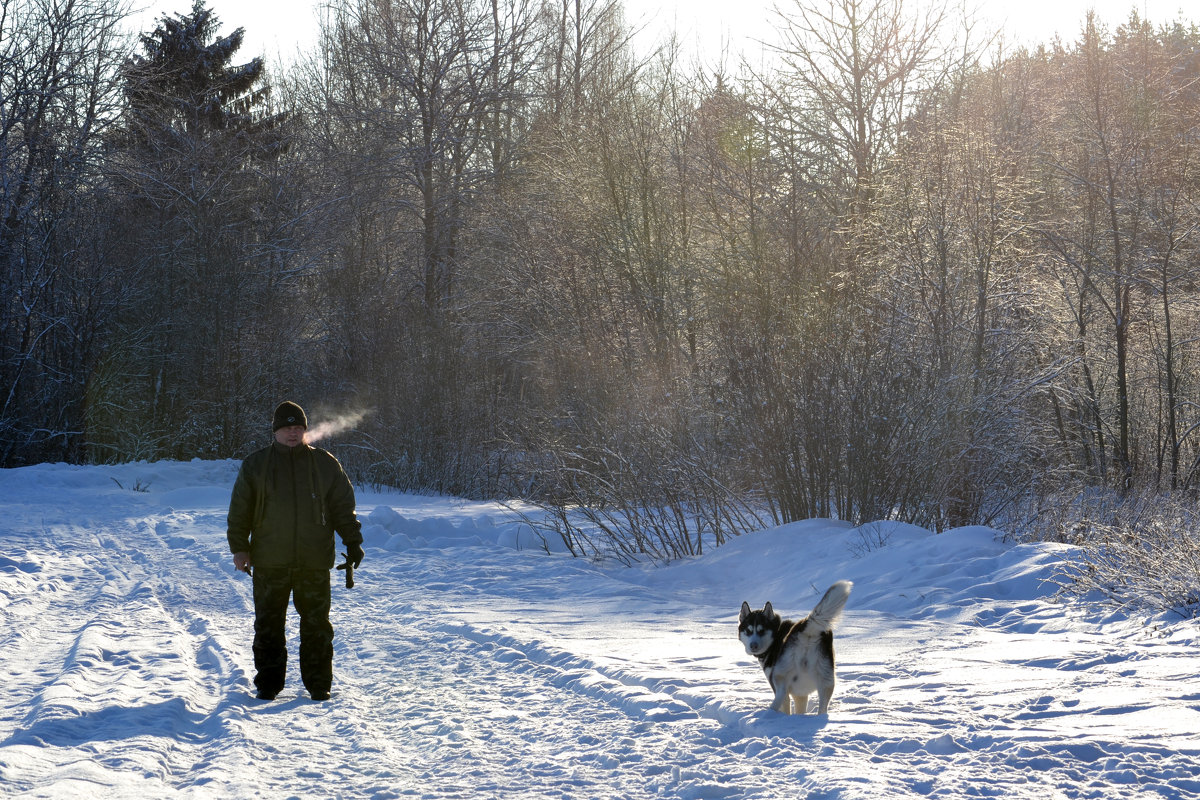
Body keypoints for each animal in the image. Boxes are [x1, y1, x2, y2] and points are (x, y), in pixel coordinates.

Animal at [734, 578, 849, 714]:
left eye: (761, 631)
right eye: (748, 631)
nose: (753, 646)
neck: (776, 637)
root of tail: (805, 627)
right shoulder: (800, 693)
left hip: (780, 679)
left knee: (779, 699)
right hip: (826, 682)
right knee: (823, 709)